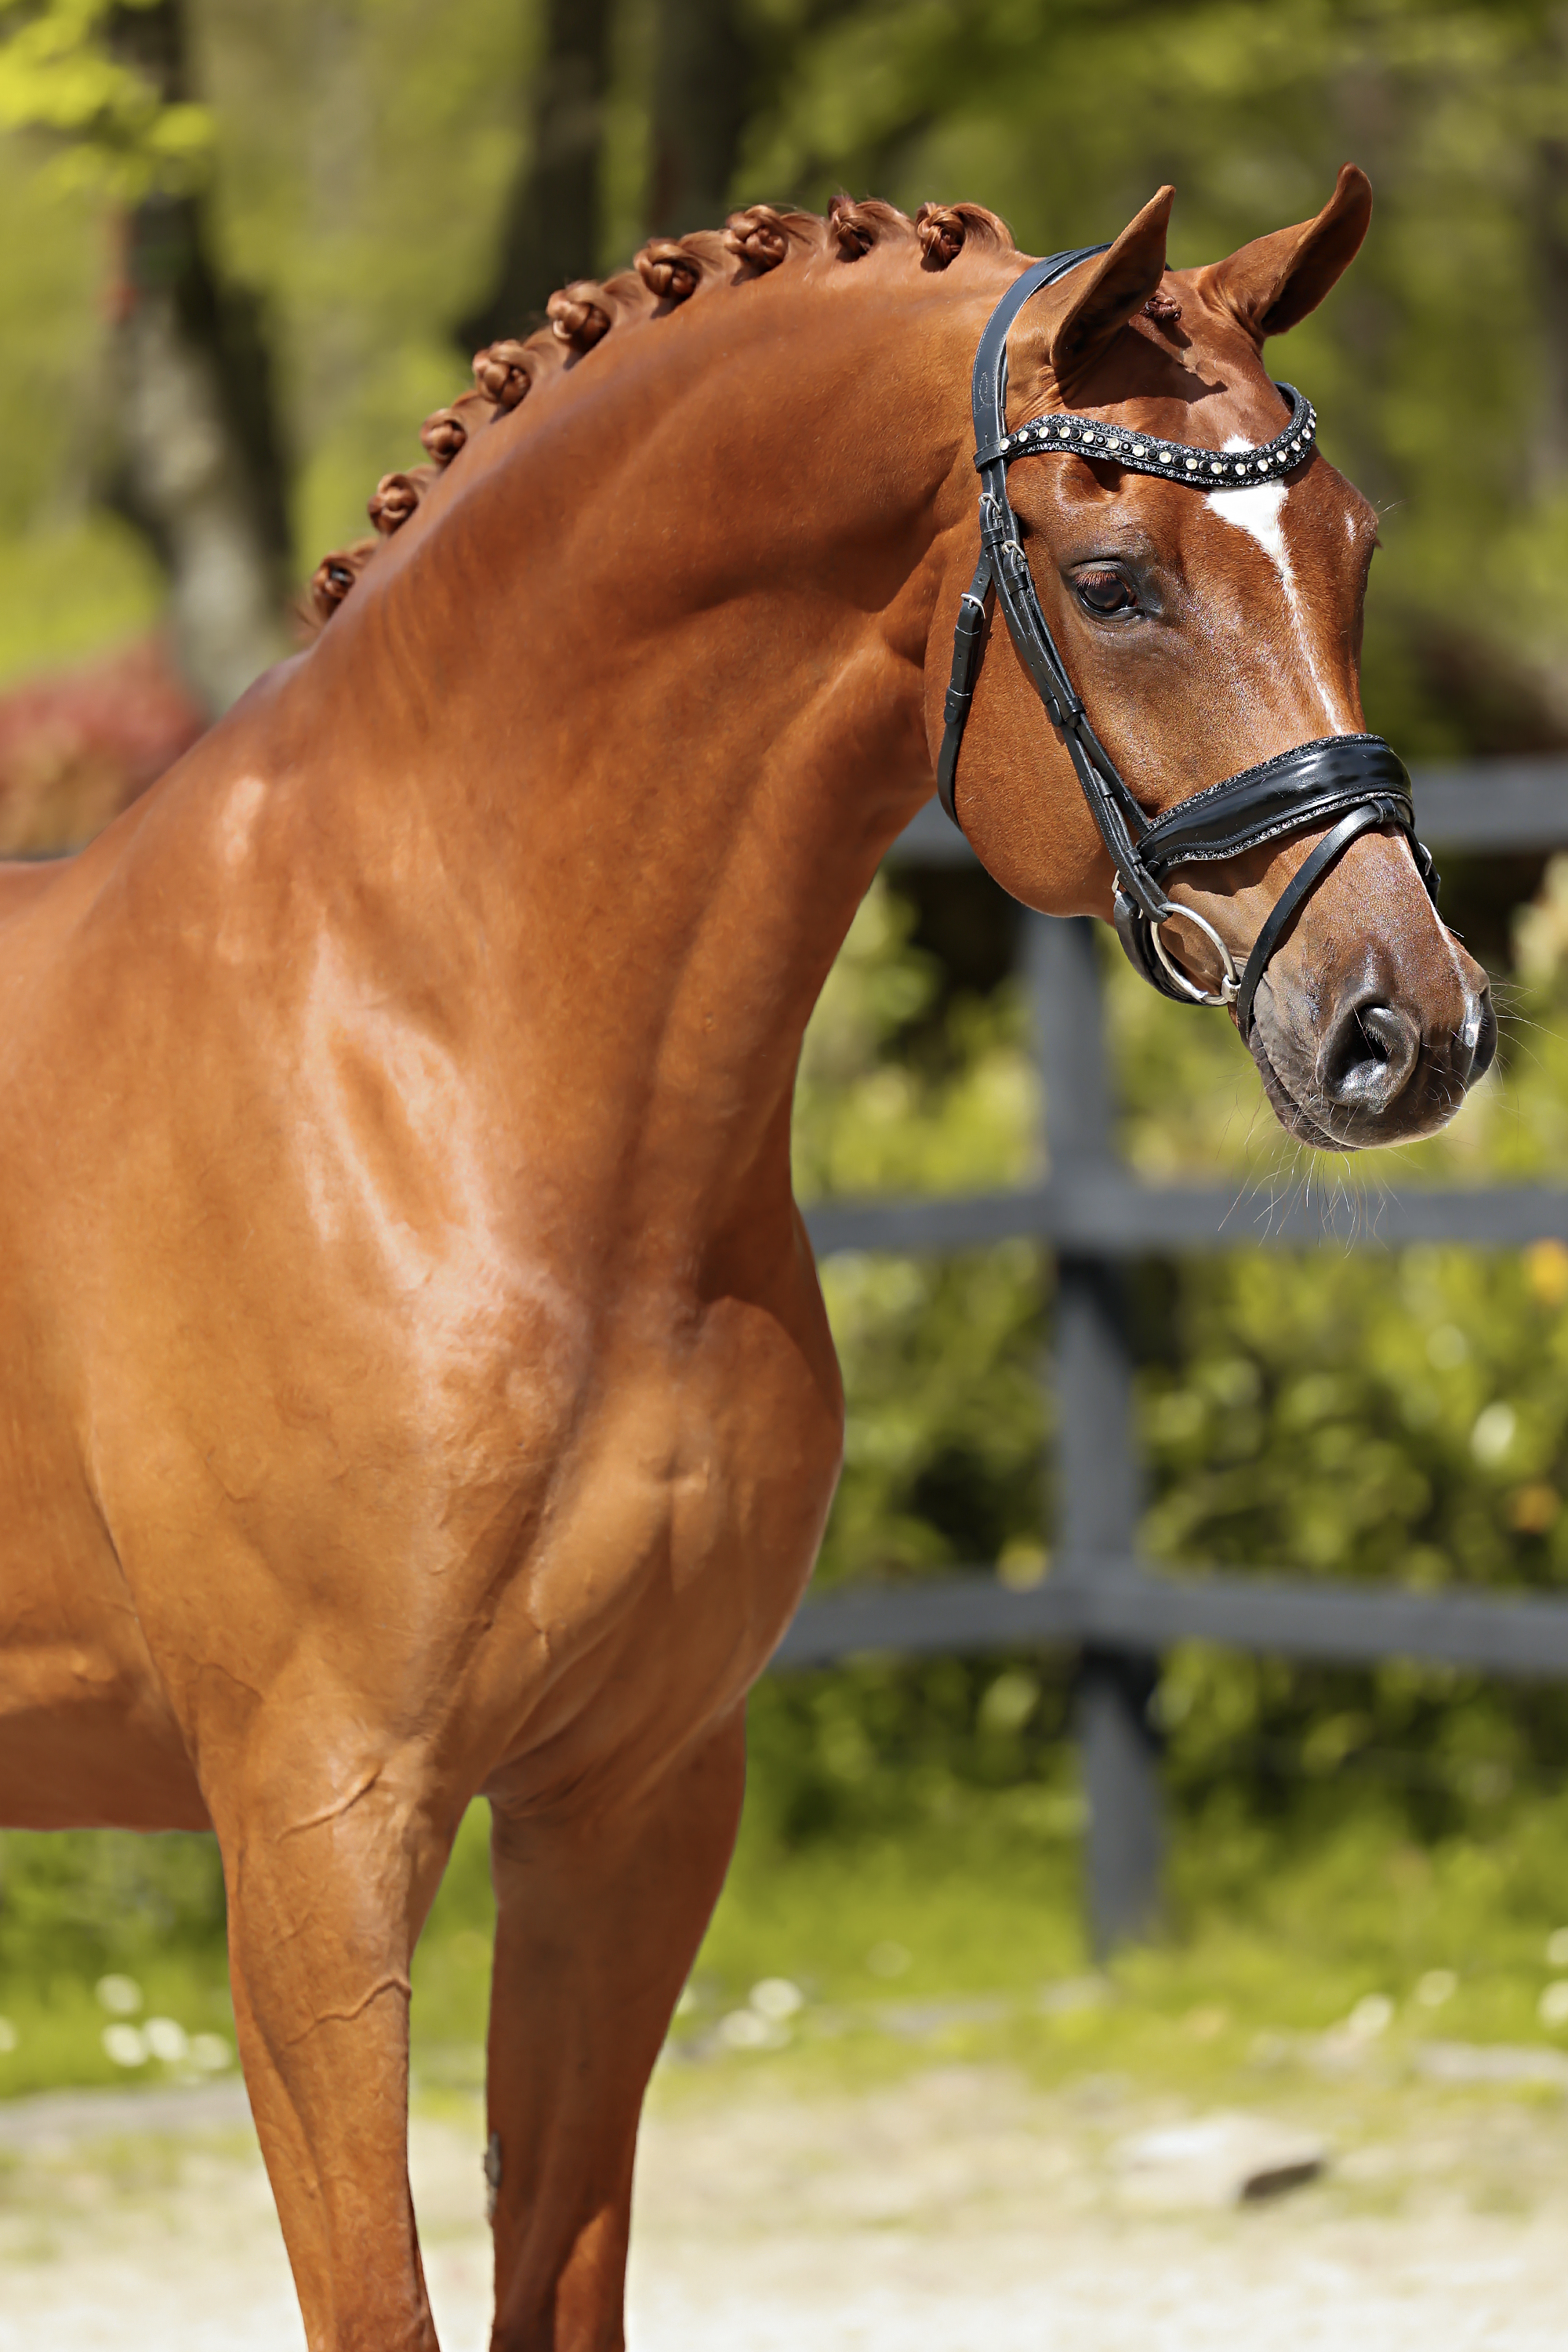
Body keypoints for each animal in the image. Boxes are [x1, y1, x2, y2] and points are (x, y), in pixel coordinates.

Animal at [0, 170, 1491, 2350]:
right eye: (1114, 577)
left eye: (1353, 546)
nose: (1406, 1027)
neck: (426, 1065)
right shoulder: (313, 1839)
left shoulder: (628, 1810)